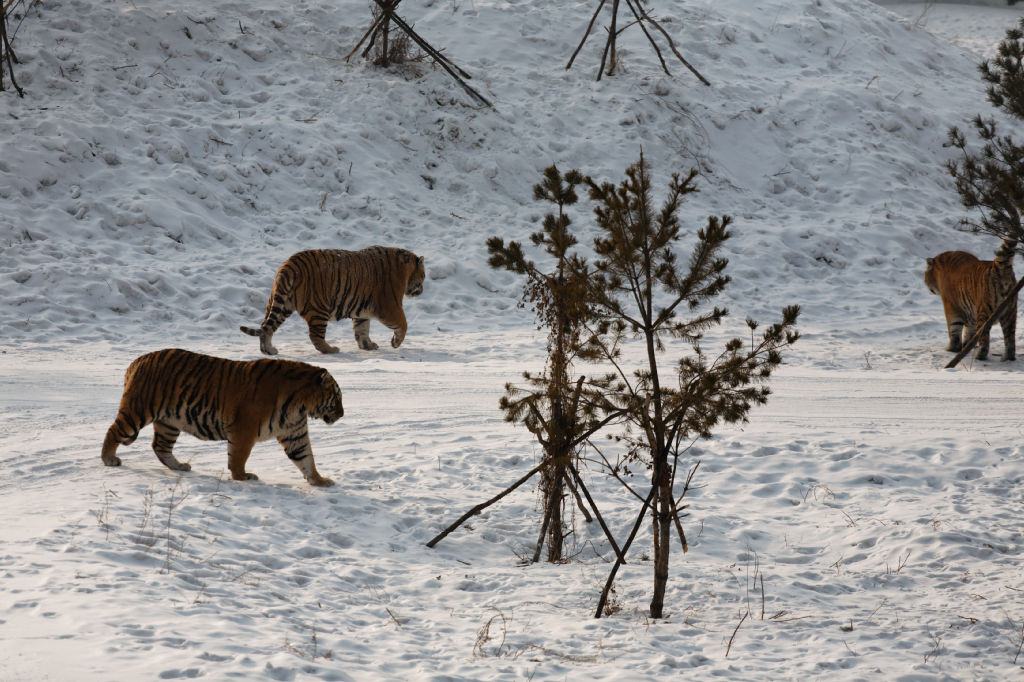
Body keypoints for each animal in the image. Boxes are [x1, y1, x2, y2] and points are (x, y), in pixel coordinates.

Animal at [101, 348, 346, 485]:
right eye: (336, 396)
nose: (342, 414)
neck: (299, 406)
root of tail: (138, 360)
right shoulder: (244, 429)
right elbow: (238, 456)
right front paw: (242, 477)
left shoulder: (294, 433)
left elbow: (306, 458)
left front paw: (319, 481)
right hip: (139, 410)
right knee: (113, 430)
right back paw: (109, 459)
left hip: (169, 422)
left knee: (160, 447)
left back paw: (180, 466)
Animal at [239, 248, 423, 356]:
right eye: (423, 275)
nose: (421, 291)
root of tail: (289, 264)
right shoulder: (390, 306)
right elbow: (403, 324)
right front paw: (395, 343)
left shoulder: (362, 311)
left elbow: (362, 329)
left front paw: (368, 346)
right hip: (318, 309)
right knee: (315, 336)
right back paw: (331, 349)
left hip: (282, 304)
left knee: (266, 328)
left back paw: (268, 350)